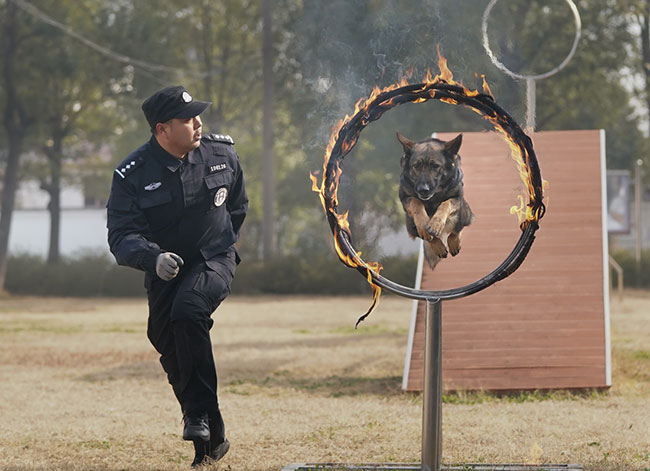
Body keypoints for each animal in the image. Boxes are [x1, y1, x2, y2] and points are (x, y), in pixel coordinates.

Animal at [394, 133, 470, 272]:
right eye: (416, 166)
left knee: (458, 228)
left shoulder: (457, 198)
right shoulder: (405, 198)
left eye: (435, 166)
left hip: (464, 212)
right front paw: (425, 226)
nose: (423, 189)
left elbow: (445, 204)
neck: (433, 198)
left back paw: (454, 242)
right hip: (410, 225)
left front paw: (436, 224)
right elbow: (416, 202)